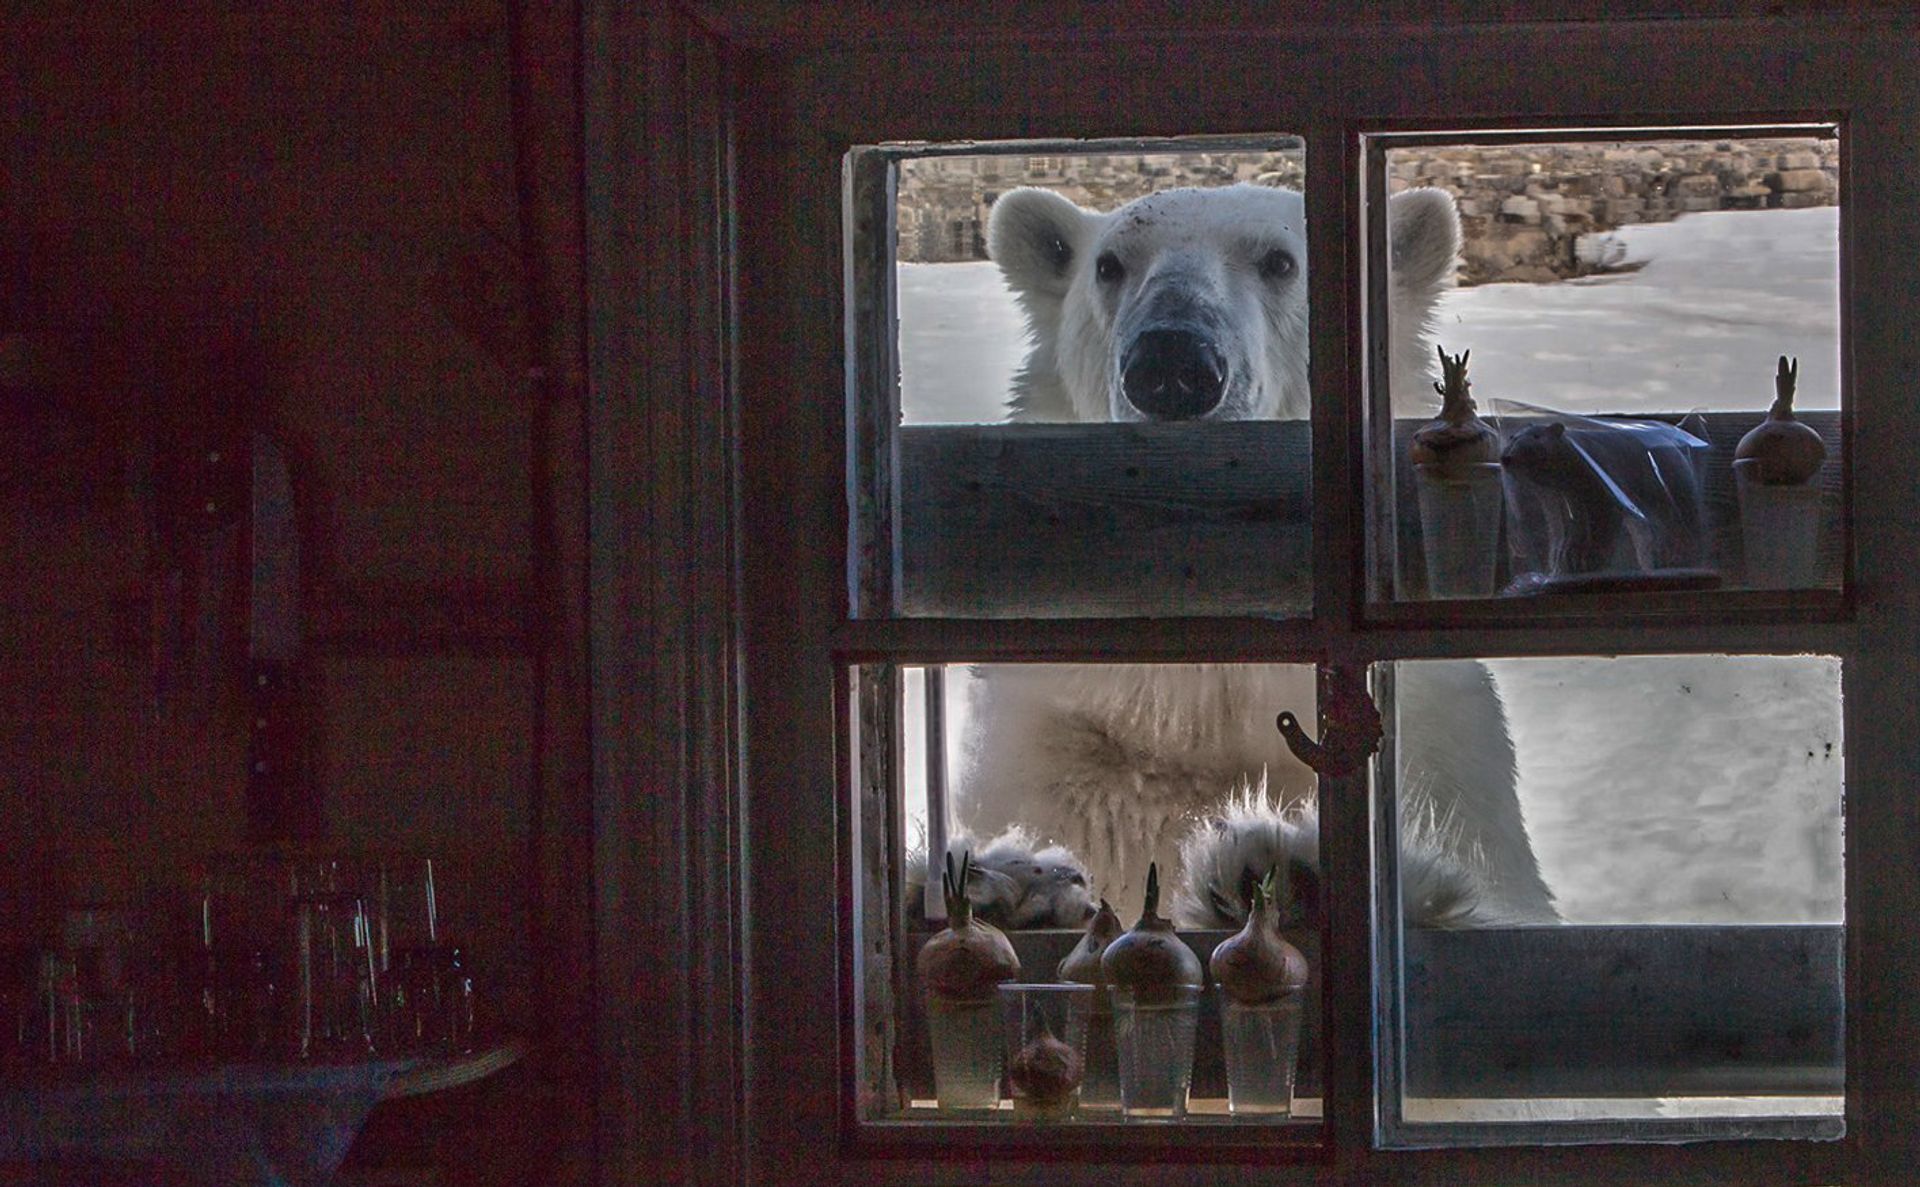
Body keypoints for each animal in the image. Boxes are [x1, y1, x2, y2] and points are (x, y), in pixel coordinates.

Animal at [947, 181, 1558, 928]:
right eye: (1109, 265)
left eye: (1280, 262)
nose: (1172, 365)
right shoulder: (1054, 758)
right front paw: (1018, 882)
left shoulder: (1438, 750)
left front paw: (1297, 872)